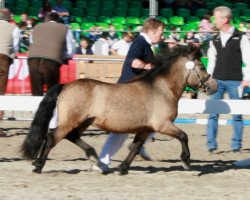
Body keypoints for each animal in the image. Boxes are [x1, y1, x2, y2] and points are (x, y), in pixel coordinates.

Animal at [20, 44, 218, 174]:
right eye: (201, 66)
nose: (214, 86)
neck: (162, 88)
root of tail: (65, 85)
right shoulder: (163, 125)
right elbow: (183, 136)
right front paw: (186, 161)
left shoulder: (145, 128)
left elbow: (135, 147)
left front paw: (123, 168)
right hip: (70, 121)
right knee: (52, 138)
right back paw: (38, 165)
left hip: (83, 121)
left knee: (72, 136)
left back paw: (95, 158)